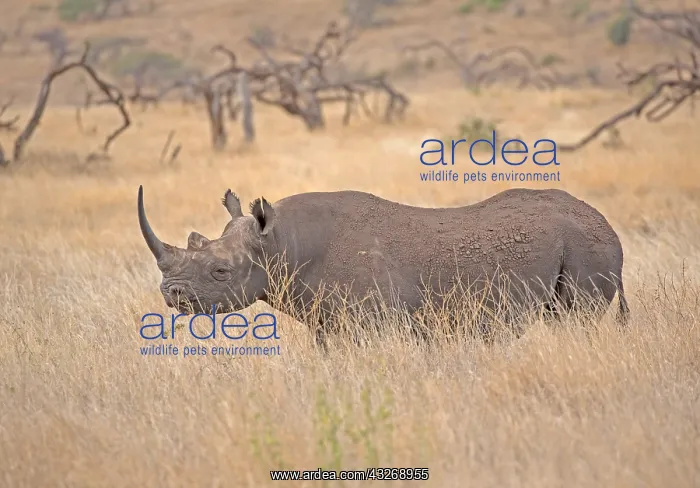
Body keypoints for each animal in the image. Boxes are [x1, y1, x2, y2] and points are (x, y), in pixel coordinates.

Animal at [137, 185, 629, 346]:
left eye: (220, 273)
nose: (171, 295)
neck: (280, 242)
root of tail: (609, 226)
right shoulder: (329, 322)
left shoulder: (373, 321)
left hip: (588, 246)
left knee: (576, 320)